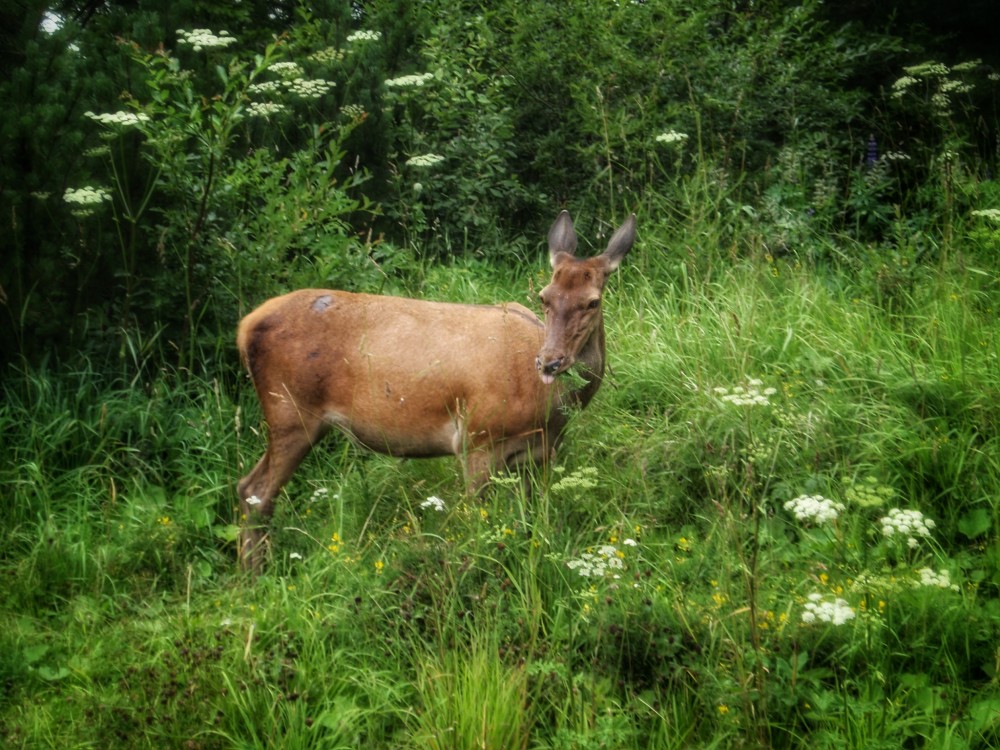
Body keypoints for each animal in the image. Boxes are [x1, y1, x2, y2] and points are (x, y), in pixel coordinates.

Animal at [236, 209, 632, 568]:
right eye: (544, 296)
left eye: (592, 301)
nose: (550, 361)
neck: (551, 408)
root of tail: (245, 326)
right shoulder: (477, 439)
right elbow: (477, 521)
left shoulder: (542, 454)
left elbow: (531, 522)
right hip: (290, 410)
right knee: (257, 492)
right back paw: (255, 575)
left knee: (247, 487)